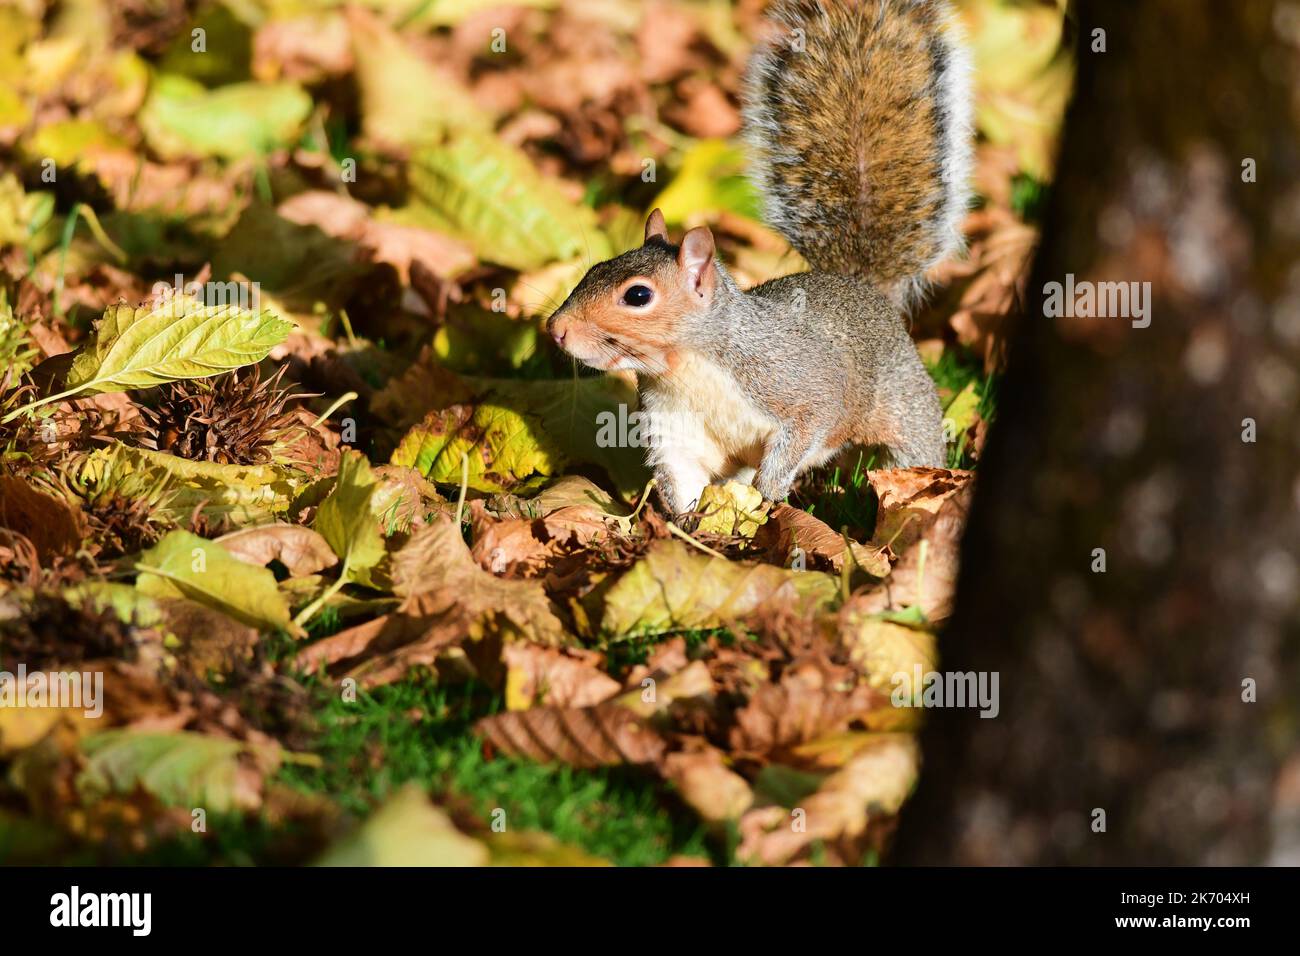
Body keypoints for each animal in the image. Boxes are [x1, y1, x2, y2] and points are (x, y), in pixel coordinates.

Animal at [543, 0, 972, 515]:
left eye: (638, 295)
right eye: (592, 270)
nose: (556, 329)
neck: (688, 369)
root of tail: (862, 286)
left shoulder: (798, 387)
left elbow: (805, 429)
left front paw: (767, 498)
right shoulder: (675, 428)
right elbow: (682, 479)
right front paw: (687, 524)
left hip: (904, 401)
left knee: (914, 447)